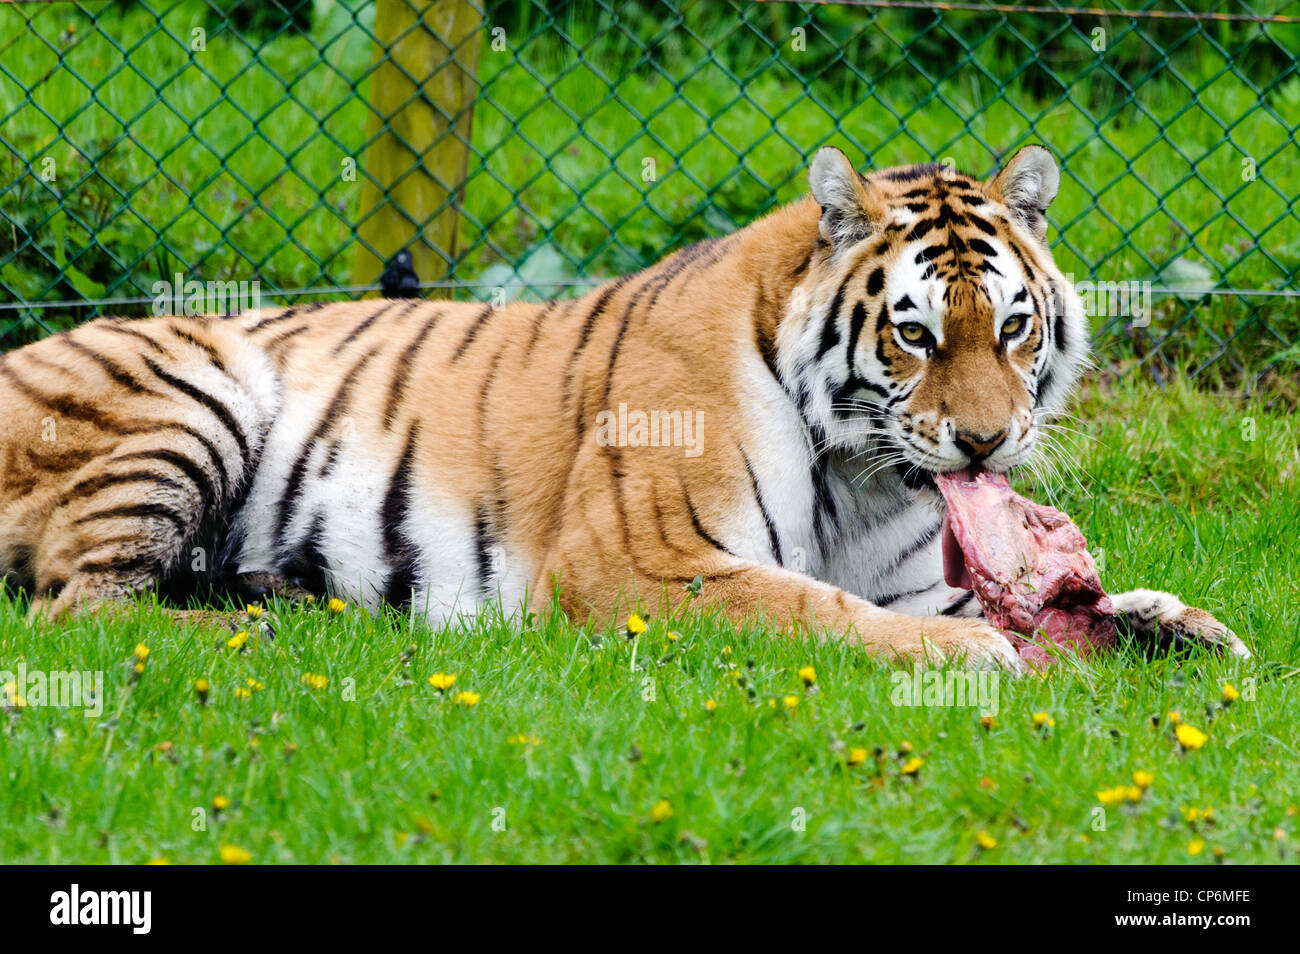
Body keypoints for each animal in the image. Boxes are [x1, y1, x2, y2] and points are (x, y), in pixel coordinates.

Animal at [0, 145, 1248, 669]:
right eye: (914, 333)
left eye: (1014, 327)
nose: (987, 439)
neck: (857, 474)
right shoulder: (643, 562)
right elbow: (815, 610)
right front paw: (978, 657)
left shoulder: (915, 573)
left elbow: (1095, 604)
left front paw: (1178, 624)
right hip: (195, 391)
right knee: (77, 606)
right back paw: (255, 630)